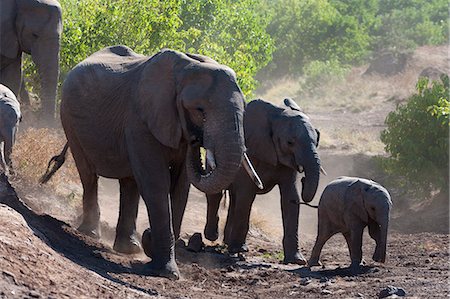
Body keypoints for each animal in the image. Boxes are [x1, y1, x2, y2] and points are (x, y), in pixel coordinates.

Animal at [40, 45, 262, 280]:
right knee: (89, 174)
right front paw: (168, 273)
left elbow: (180, 188)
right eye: (199, 110)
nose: (196, 140)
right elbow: (157, 183)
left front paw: (153, 250)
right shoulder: (141, 120)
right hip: (70, 121)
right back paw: (90, 233)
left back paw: (129, 248)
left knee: (129, 183)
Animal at [204, 98, 324, 264]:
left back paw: (228, 243)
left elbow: (290, 197)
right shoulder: (250, 150)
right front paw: (237, 250)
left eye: (317, 140)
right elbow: (247, 195)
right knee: (216, 194)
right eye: (290, 142)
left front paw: (297, 260)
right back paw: (214, 237)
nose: (304, 178)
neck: (277, 115)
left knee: (234, 199)